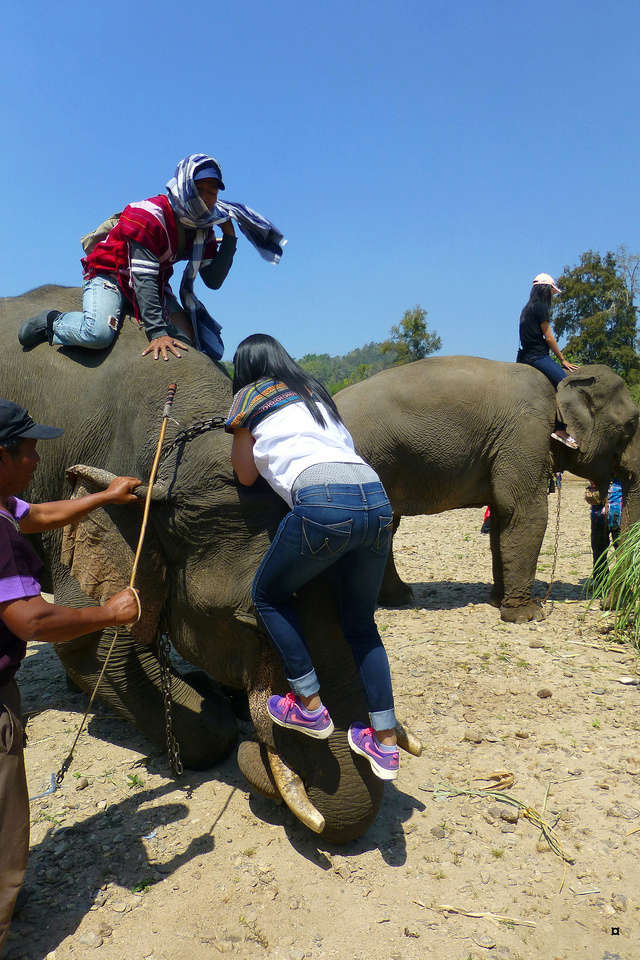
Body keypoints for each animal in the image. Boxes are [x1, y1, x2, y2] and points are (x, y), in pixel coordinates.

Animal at [336, 354, 640, 624]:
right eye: (630, 424)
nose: (606, 604)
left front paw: (499, 601)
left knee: (386, 525)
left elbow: (502, 518)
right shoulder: (525, 435)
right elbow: (524, 512)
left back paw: (398, 598)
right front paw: (527, 616)